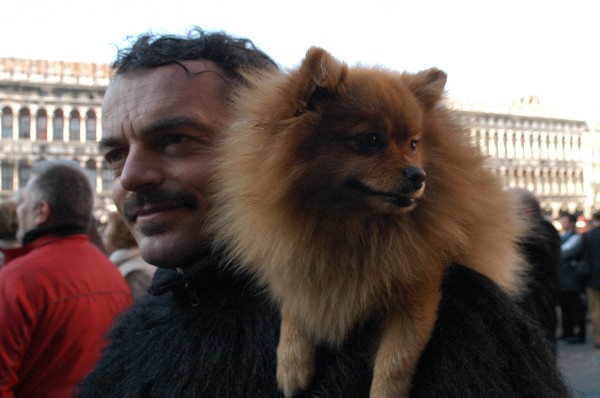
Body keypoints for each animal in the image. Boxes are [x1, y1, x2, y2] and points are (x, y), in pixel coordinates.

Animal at [206, 47, 524, 398]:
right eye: (370, 140)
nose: (418, 175)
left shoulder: (417, 292)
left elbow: (395, 361)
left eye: (414, 144)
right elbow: (294, 310)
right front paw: (291, 364)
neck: (353, 225)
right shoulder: (299, 266)